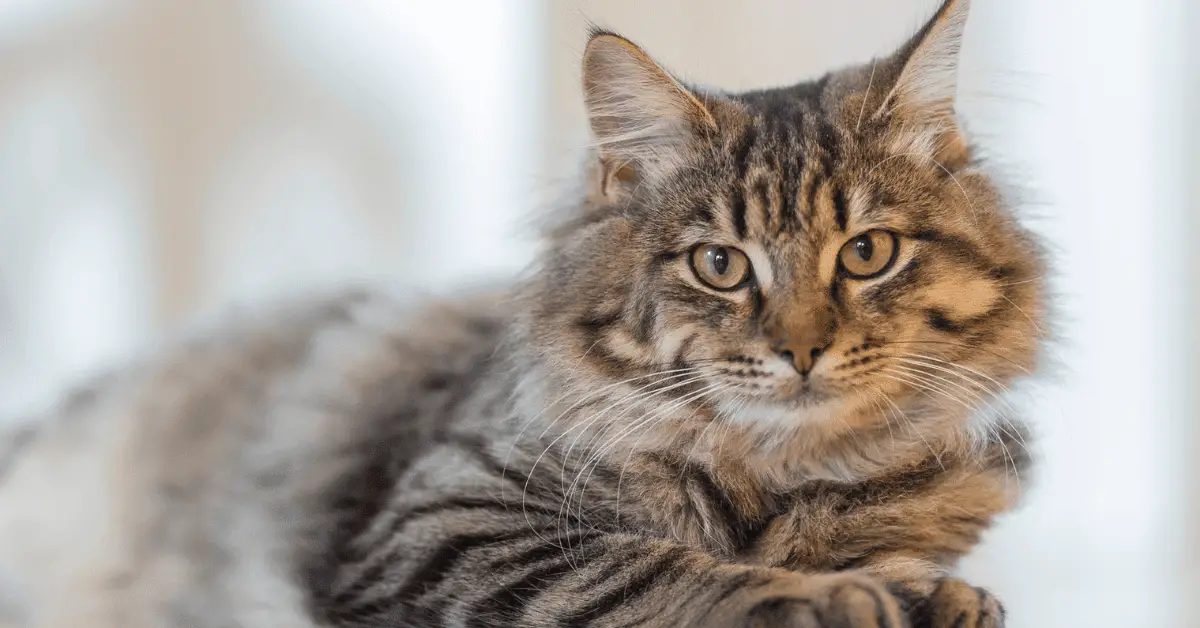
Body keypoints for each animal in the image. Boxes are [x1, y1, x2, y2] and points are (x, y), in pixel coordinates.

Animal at [0, 0, 1041, 624]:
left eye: (866, 254)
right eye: (720, 265)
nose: (802, 350)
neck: (783, 478)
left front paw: (937, 591)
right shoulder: (449, 515)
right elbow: (657, 567)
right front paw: (838, 595)